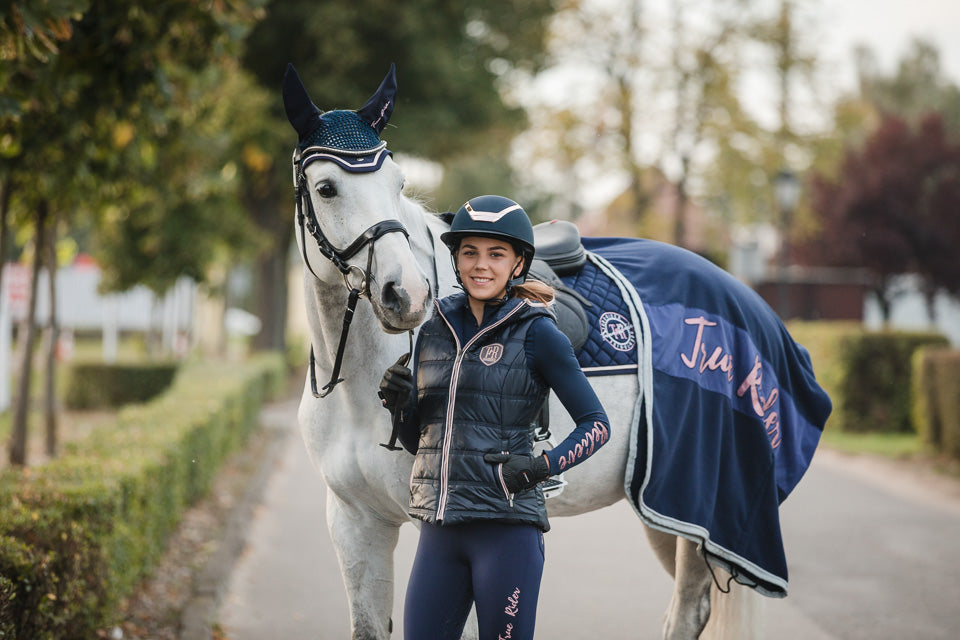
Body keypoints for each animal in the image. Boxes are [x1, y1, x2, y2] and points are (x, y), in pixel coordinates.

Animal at [284, 65, 804, 640]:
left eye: (397, 184)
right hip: (668, 510)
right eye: (327, 188)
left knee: (688, 607)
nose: (408, 295)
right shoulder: (355, 523)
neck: (356, 388)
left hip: (698, 509)